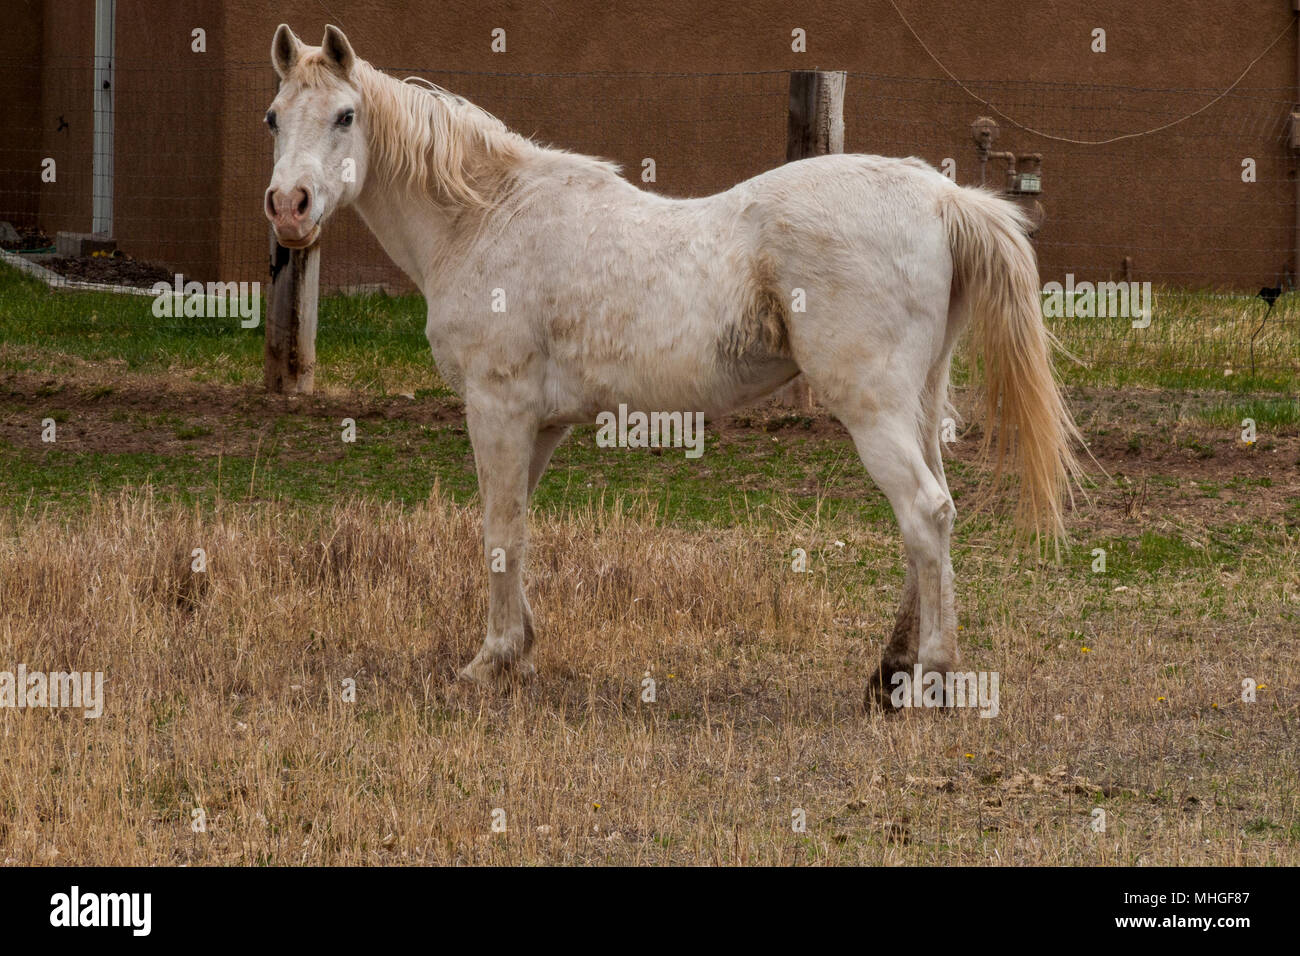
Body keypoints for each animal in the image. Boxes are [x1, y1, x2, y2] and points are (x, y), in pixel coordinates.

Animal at [263, 24, 1082, 707]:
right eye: (274, 116)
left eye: (345, 116)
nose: (289, 207)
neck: (486, 217)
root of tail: (940, 195)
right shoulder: (539, 425)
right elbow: (515, 524)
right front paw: (518, 650)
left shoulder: (498, 409)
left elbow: (501, 531)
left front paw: (490, 661)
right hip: (916, 404)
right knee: (932, 524)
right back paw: (892, 671)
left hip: (872, 408)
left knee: (926, 515)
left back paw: (932, 677)